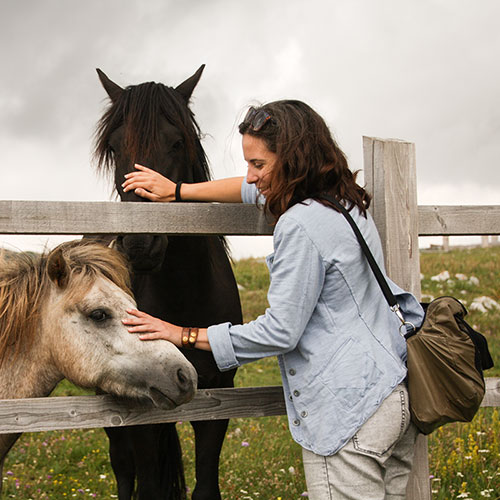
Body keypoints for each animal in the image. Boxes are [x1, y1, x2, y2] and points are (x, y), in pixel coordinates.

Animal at [94, 65, 244, 500]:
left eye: (177, 142)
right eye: (114, 146)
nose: (139, 243)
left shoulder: (218, 398)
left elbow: (206, 486)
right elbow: (147, 485)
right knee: (123, 469)